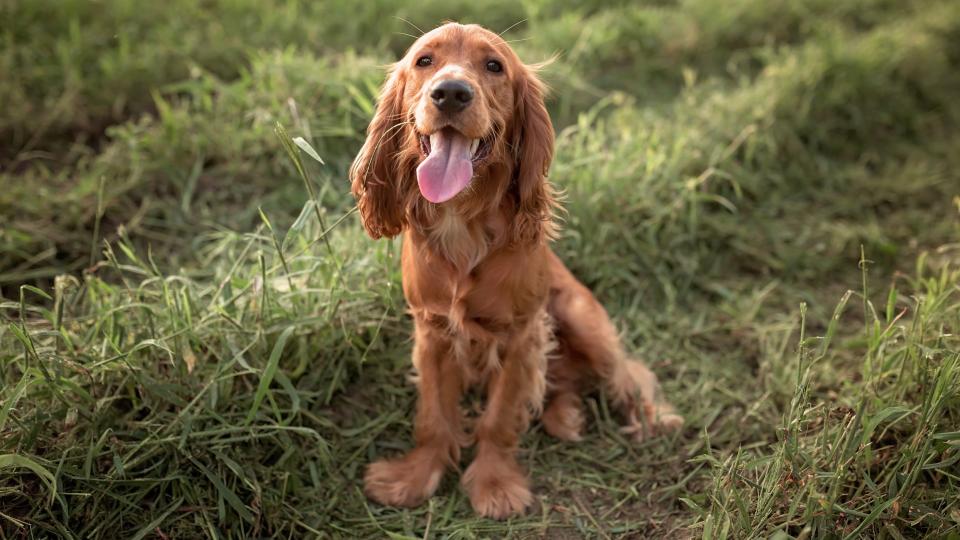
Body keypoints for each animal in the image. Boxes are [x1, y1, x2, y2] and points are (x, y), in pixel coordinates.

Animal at [346, 22, 684, 520]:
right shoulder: (432, 333)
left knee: (628, 373)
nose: (451, 93)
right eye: (424, 61)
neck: (463, 224)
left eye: (493, 66)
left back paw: (652, 417)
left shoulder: (520, 336)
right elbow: (433, 415)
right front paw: (414, 477)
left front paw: (495, 485)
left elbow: (500, 417)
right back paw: (567, 414)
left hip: (584, 321)